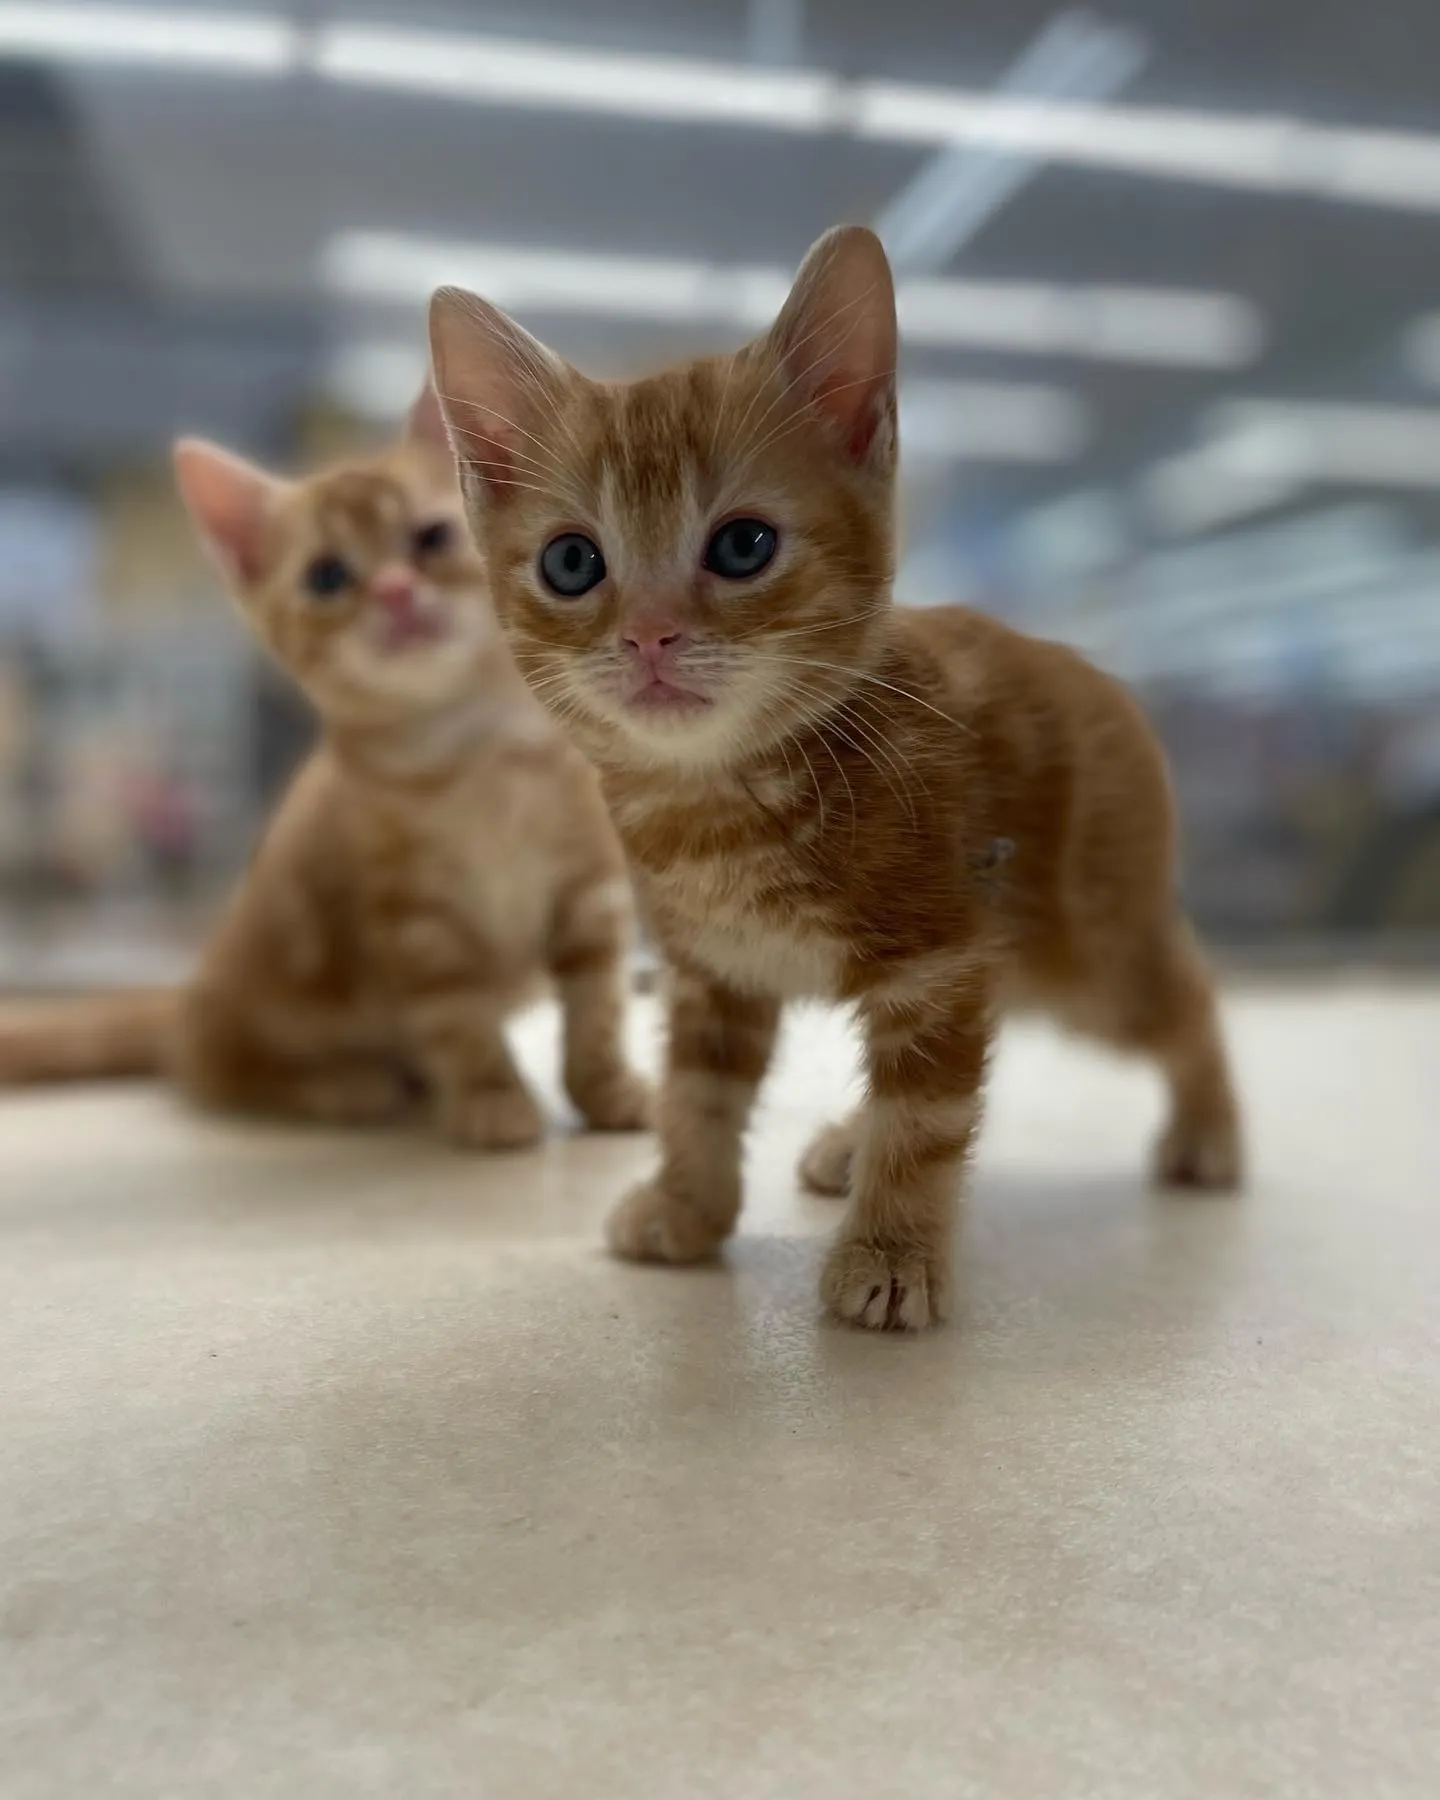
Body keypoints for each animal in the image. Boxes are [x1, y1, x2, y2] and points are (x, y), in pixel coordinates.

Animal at [0, 394, 648, 1152]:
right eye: (328, 577)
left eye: (431, 537)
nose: (395, 591)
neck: (473, 756)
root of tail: (186, 997)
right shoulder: (416, 923)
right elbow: (460, 1022)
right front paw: (492, 1098)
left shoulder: (591, 888)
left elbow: (598, 1006)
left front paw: (608, 1093)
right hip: (248, 1017)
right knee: (213, 1070)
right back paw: (346, 1086)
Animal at [424, 221, 1238, 1324]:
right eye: (571, 564)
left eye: (743, 545)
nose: (648, 636)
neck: (719, 804)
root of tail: (1102, 676)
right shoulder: (711, 969)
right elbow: (698, 1094)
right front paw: (688, 1205)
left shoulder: (941, 953)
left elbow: (927, 1117)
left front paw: (891, 1252)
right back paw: (851, 1143)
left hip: (1091, 946)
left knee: (1185, 997)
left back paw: (1211, 1133)